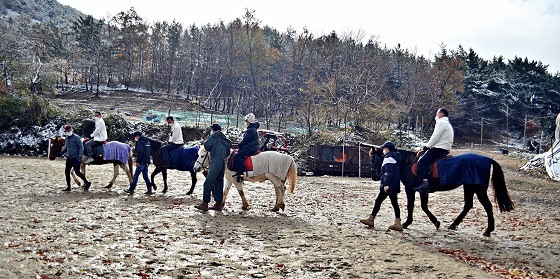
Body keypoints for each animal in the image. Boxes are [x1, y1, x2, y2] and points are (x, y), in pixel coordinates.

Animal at [370, 148, 516, 237]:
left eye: (374, 159)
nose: (375, 176)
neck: (408, 163)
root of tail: (488, 159)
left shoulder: (410, 189)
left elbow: (412, 206)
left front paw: (407, 223)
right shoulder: (423, 191)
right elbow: (424, 206)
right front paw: (436, 222)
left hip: (478, 189)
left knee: (487, 206)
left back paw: (488, 230)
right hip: (469, 187)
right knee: (468, 205)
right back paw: (453, 225)